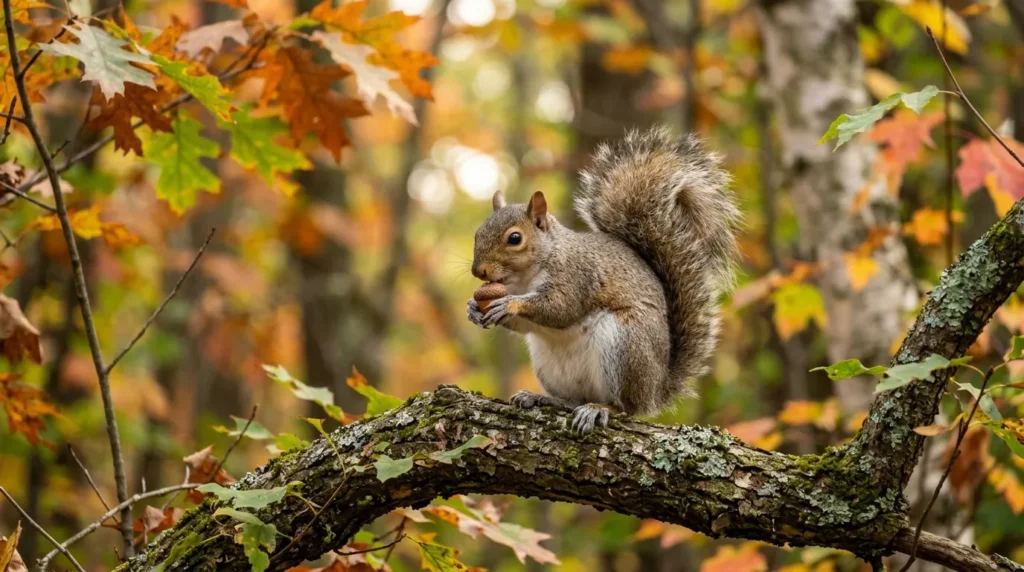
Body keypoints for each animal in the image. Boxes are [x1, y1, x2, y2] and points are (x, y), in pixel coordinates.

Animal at [466, 126, 741, 434]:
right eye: (478, 233)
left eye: (515, 238)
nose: (478, 271)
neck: (525, 277)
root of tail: (656, 388)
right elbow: (524, 325)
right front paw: (473, 308)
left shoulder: (577, 275)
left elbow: (561, 308)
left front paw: (509, 304)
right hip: (550, 366)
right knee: (573, 400)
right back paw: (544, 399)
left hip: (625, 345)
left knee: (625, 407)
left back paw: (600, 408)